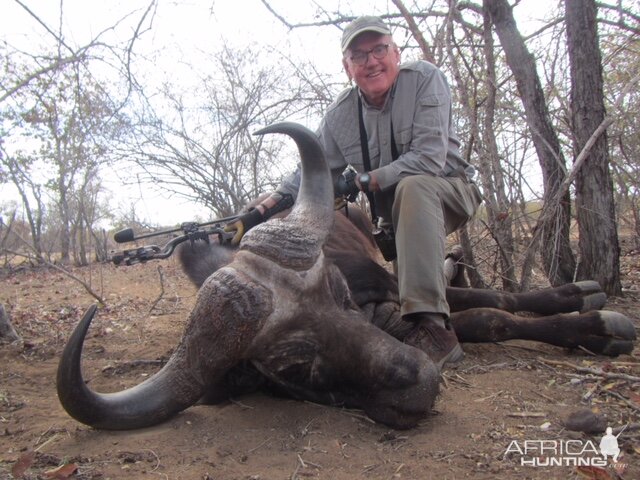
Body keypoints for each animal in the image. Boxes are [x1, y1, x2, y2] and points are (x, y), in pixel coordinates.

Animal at [56, 122, 636, 430]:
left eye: (340, 294)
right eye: (294, 366)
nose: (421, 376)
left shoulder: (391, 293)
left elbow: (492, 313)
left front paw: (598, 326)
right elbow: (481, 319)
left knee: (483, 291)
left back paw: (583, 293)